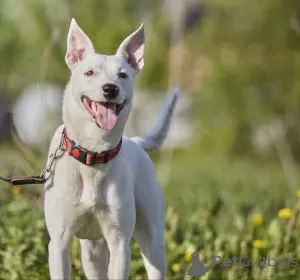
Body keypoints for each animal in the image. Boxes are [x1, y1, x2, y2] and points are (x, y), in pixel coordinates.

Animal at [43, 18, 179, 278]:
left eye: (123, 75)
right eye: (89, 72)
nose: (110, 89)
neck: (93, 153)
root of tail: (136, 141)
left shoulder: (119, 243)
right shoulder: (59, 243)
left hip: (152, 241)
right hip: (92, 252)